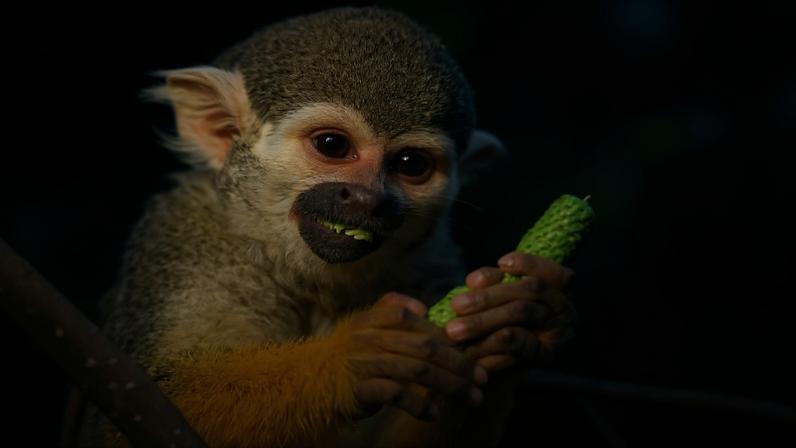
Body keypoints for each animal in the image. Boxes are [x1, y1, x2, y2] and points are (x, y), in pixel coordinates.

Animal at [78, 7, 576, 447]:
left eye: (411, 165)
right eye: (333, 146)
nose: (369, 199)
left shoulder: (431, 267)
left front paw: (509, 323)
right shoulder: (184, 238)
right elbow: (146, 407)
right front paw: (350, 360)